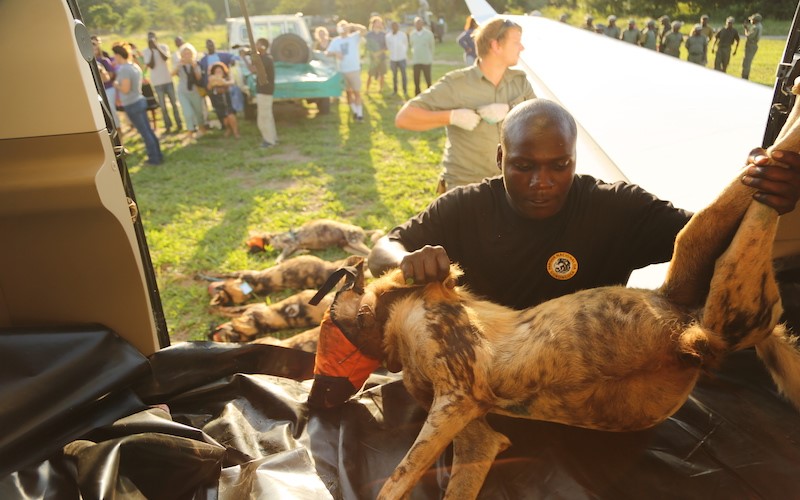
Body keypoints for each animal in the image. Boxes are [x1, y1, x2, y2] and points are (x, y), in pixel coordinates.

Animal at [247, 221, 384, 264]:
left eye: (251, 245)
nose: (246, 254)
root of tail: (363, 230)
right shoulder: (294, 247)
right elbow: (296, 252)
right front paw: (304, 252)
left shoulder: (290, 245)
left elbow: (280, 258)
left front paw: (279, 260)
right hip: (348, 247)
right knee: (366, 255)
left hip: (353, 241)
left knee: (370, 252)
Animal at [308, 88, 800, 498]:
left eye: (326, 337)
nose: (314, 402)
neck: (392, 316)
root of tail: (687, 325)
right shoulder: (471, 427)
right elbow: (451, 467)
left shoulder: (455, 395)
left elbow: (394, 480)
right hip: (721, 287)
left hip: (726, 283)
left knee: (768, 165)